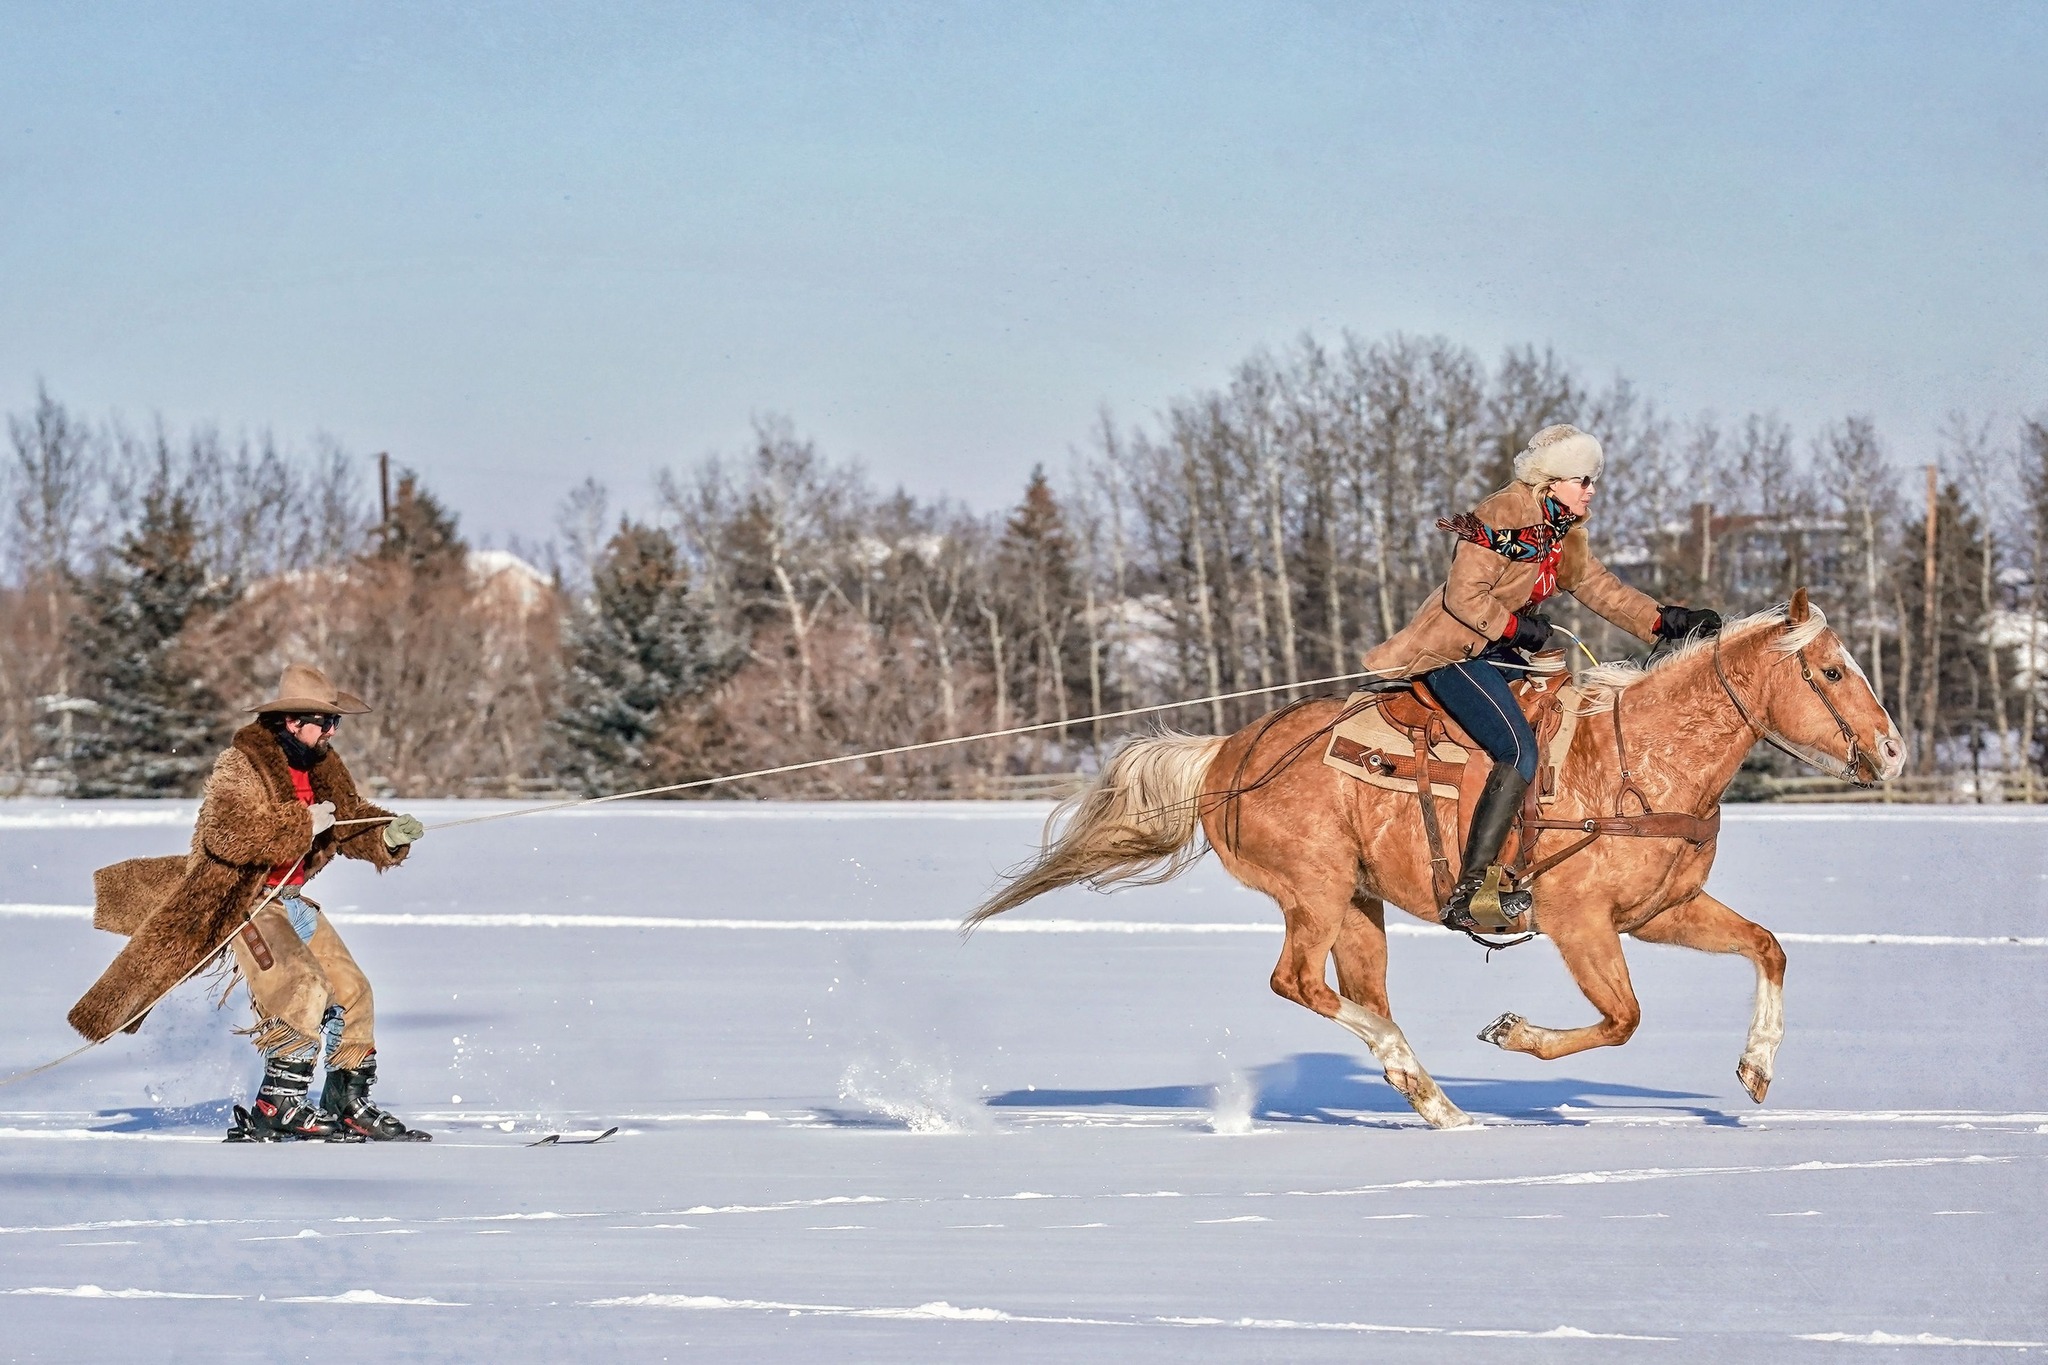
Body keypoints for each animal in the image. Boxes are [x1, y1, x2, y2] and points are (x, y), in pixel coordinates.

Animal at [966, 591, 1904, 1129]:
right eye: (1831, 670)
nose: (1894, 752)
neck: (1636, 759)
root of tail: (1228, 754)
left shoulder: (1662, 912)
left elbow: (1767, 947)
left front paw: (1757, 1068)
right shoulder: (1579, 923)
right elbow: (1624, 1017)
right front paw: (1512, 1030)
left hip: (1358, 905)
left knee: (1355, 991)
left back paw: (1438, 1103)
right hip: (1313, 891)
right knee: (1299, 983)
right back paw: (1415, 1074)